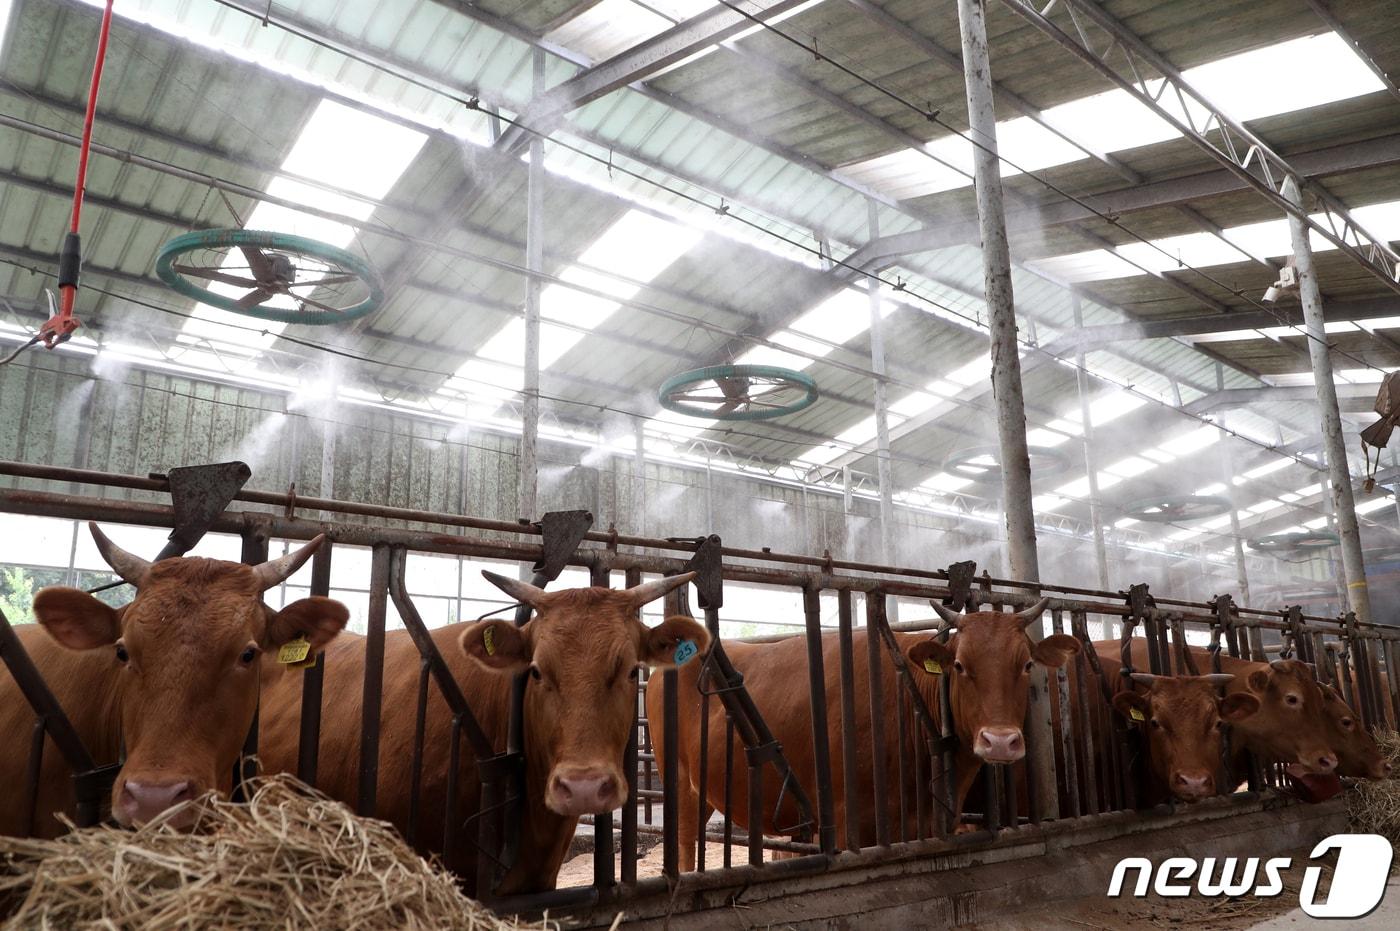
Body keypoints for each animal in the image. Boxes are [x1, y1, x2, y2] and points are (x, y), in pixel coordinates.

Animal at [655, 599, 1080, 868]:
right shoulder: (850, 825)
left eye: (1027, 664)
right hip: (679, 784)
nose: (1001, 741)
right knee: (686, 847)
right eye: (959, 665)